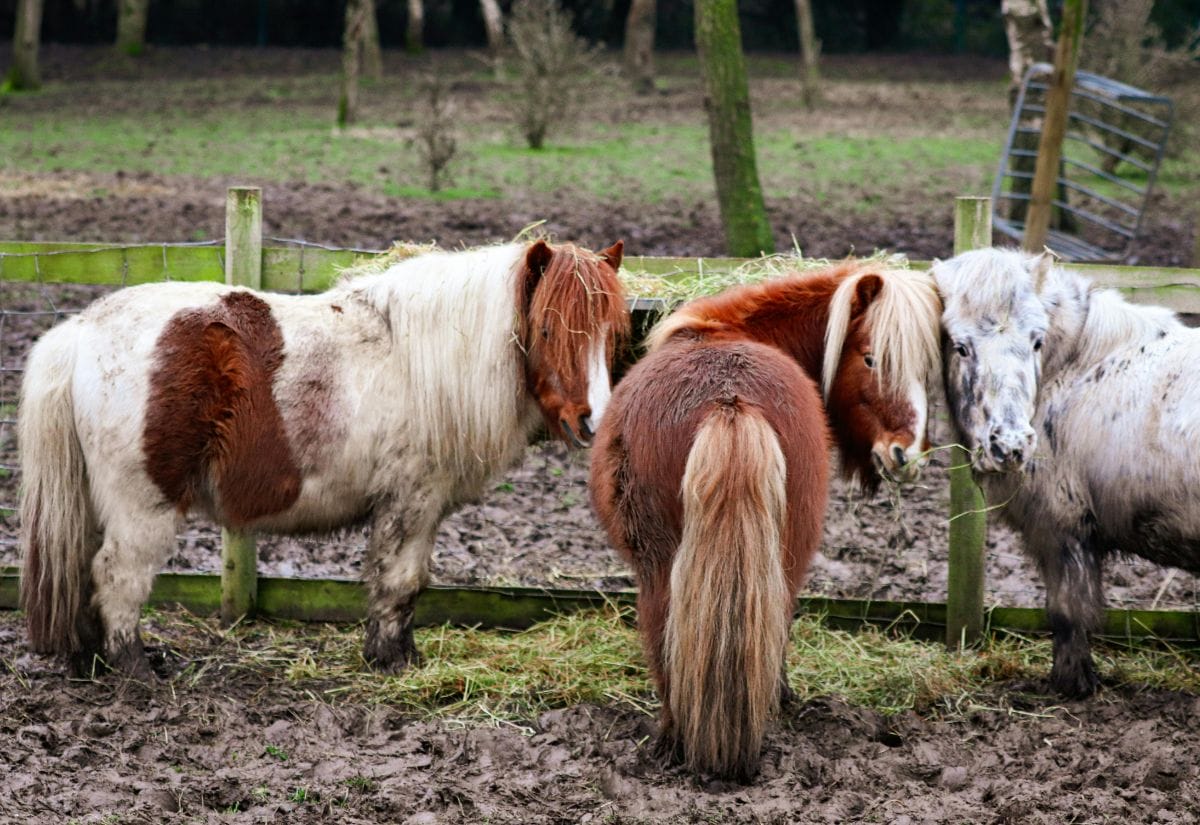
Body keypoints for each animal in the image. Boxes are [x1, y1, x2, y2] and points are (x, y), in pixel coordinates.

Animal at [18, 237, 628, 676]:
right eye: (546, 328)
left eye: (613, 334)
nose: (592, 423)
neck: (422, 358)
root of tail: (82, 330)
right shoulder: (412, 501)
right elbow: (400, 581)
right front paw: (393, 662)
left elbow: (401, 582)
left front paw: (395, 655)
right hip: (142, 508)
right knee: (117, 576)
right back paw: (133, 668)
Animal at [936, 247, 1200, 695]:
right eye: (961, 347)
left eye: (1036, 340)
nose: (1011, 444)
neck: (1080, 367)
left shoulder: (1062, 530)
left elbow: (1067, 612)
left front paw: (1070, 685)